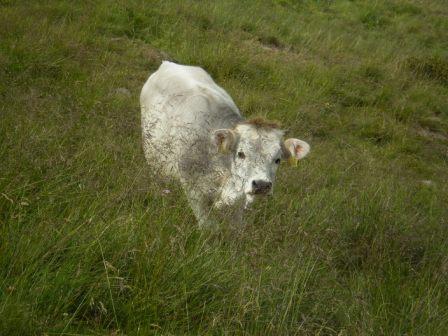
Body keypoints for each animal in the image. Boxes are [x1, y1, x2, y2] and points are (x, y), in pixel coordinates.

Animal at [142, 62, 310, 227]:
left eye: (278, 159)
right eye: (241, 154)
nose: (262, 185)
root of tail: (168, 64)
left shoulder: (240, 197)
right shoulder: (194, 192)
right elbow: (208, 226)